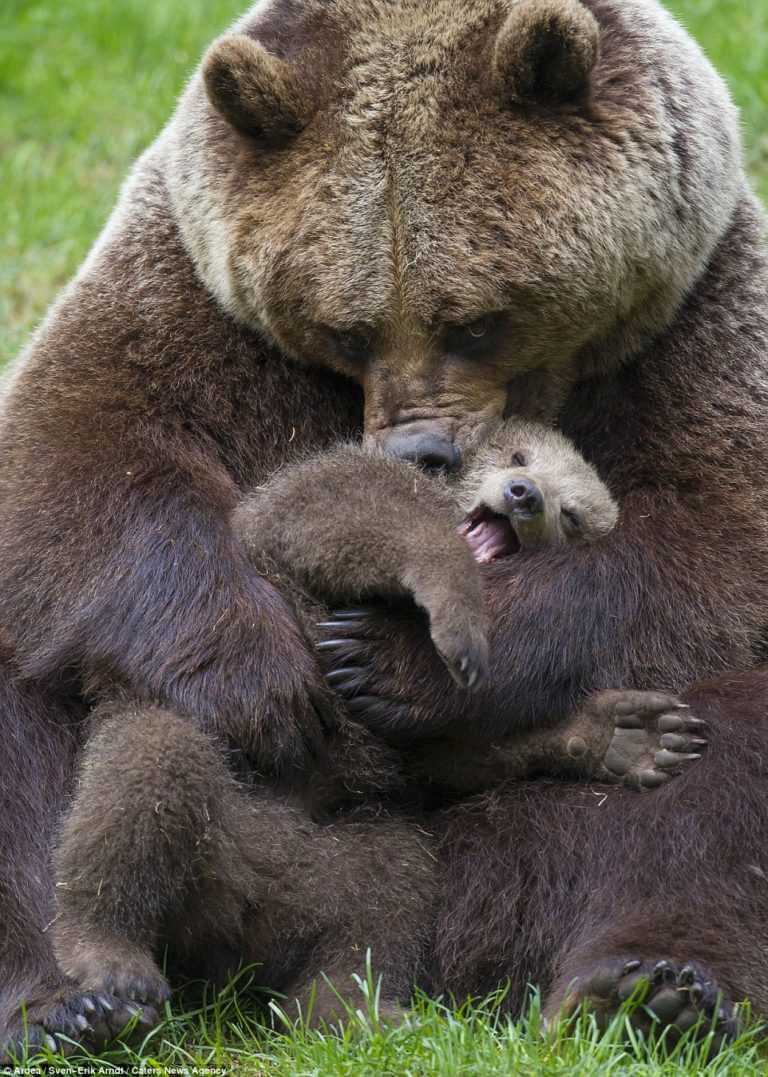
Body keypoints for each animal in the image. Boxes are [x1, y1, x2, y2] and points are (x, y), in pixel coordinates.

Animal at [1, 0, 766, 1051]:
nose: (423, 449)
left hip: (447, 848)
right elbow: (73, 454)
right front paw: (263, 677)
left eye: (479, 319)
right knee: (42, 724)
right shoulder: (186, 299)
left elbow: (710, 542)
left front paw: (401, 659)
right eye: (345, 328)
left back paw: (654, 983)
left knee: (709, 762)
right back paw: (70, 997)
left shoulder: (699, 324)